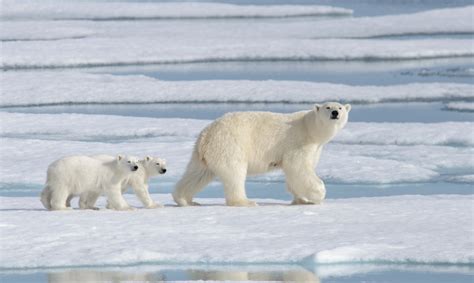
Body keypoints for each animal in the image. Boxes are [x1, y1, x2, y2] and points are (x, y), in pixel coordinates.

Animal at [172, 101, 350, 206]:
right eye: (328, 107)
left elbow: (295, 173)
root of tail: (206, 135)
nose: (335, 113)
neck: (310, 128)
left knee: (197, 174)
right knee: (234, 174)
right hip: (230, 145)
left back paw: (185, 200)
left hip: (203, 154)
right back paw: (245, 201)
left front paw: (301, 199)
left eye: (340, 107)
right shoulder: (298, 142)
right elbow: (298, 167)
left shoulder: (315, 148)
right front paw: (318, 194)